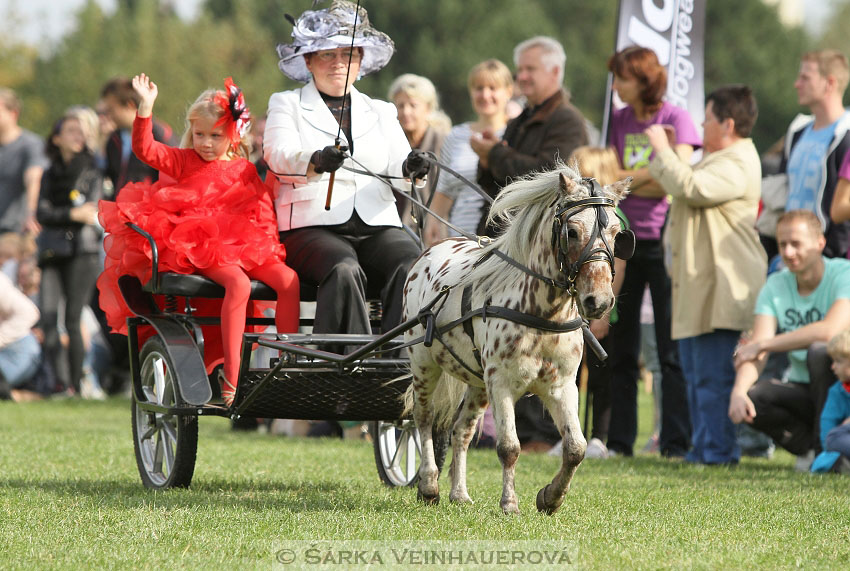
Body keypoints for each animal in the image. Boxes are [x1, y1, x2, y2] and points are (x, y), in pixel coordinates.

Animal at [400, 163, 628, 516]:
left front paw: (551, 497)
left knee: (460, 431)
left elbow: (576, 448)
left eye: (617, 233)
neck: (542, 313)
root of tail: (431, 249)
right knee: (423, 420)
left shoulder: (561, 385)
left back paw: (459, 493)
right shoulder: (502, 383)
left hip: (478, 383)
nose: (599, 301)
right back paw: (428, 485)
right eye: (572, 232)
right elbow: (509, 446)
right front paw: (509, 503)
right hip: (425, 366)